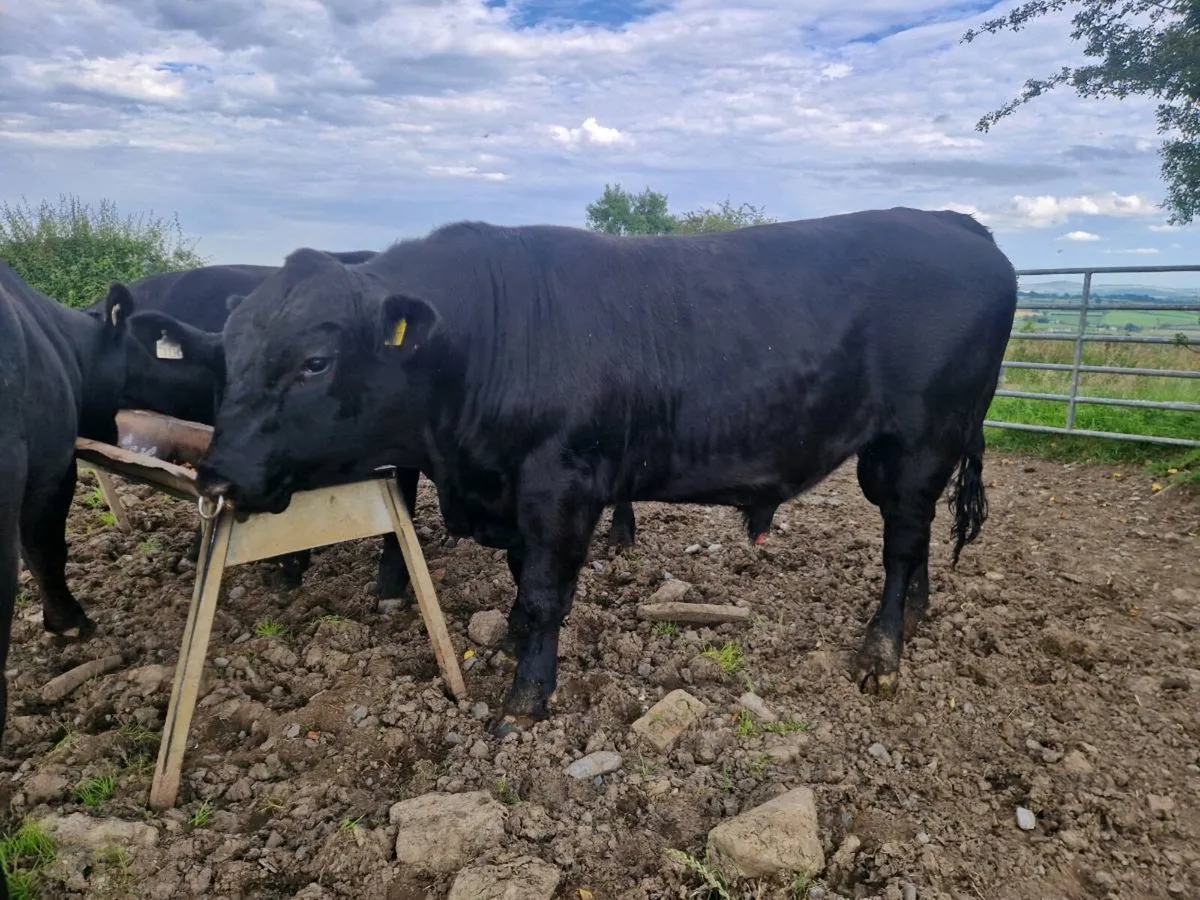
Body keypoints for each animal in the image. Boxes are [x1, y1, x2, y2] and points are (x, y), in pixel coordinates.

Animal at [127, 207, 1018, 737]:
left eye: (314, 362)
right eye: (224, 360)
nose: (220, 476)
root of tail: (955, 223)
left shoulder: (561, 486)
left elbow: (546, 591)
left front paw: (526, 698)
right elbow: (524, 585)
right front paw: (518, 648)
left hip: (917, 441)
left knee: (901, 541)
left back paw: (883, 651)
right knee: (918, 535)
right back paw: (918, 617)